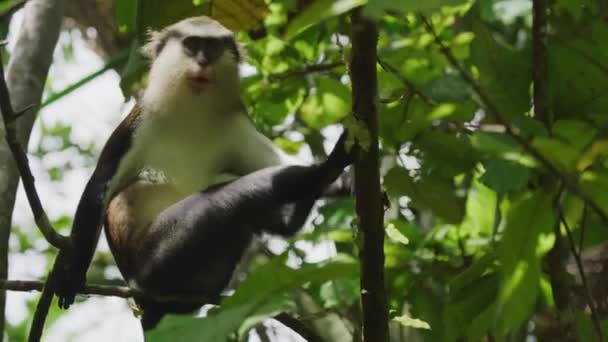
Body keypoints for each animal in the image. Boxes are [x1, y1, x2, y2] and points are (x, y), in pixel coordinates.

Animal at [54, 16, 354, 328]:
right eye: (192, 45)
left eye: (212, 48)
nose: (202, 61)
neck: (194, 110)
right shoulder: (140, 122)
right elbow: (100, 185)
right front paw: (70, 276)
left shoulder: (239, 124)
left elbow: (271, 167)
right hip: (155, 262)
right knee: (218, 199)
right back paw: (319, 173)